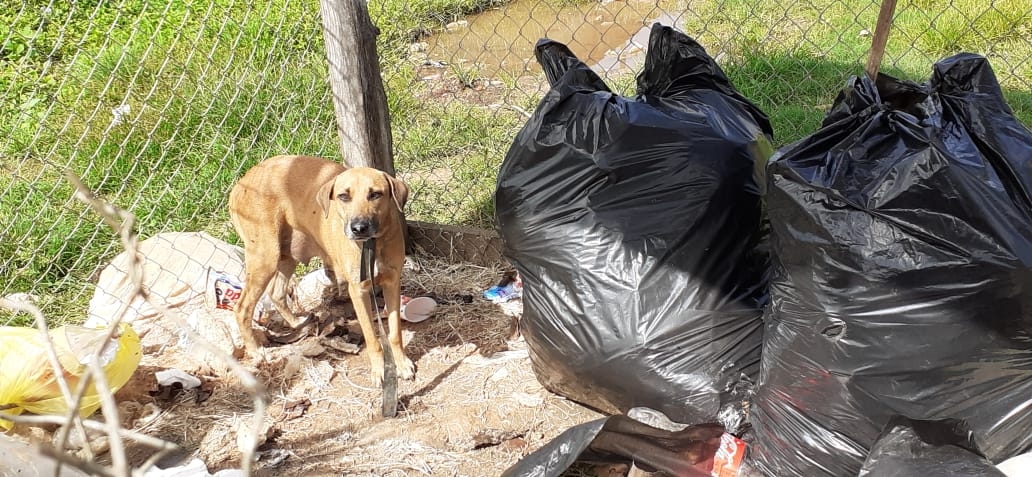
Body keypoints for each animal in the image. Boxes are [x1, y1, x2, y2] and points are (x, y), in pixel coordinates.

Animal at [228, 154, 412, 386]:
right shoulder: (358, 290)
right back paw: (256, 351)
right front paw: (380, 371)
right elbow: (372, 338)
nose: (358, 228)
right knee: (242, 307)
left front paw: (402, 364)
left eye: (375, 194)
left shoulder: (392, 282)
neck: (372, 245)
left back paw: (296, 323)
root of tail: (241, 182)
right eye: (343, 196)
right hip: (264, 258)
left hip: (286, 256)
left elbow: (395, 333)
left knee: (276, 292)